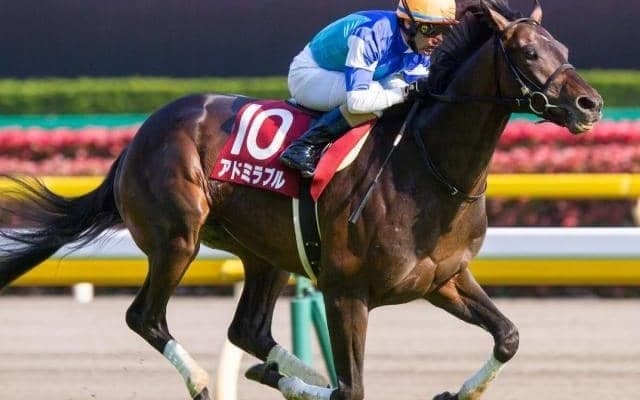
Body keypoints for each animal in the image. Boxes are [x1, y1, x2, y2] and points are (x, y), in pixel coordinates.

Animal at [0, 1, 602, 399]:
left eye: (565, 50)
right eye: (528, 51)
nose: (590, 104)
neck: (429, 168)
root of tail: (136, 138)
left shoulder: (443, 280)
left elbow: (509, 336)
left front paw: (458, 391)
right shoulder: (347, 293)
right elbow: (353, 389)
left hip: (265, 253)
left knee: (247, 330)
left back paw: (289, 375)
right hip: (178, 239)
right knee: (145, 317)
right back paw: (209, 380)